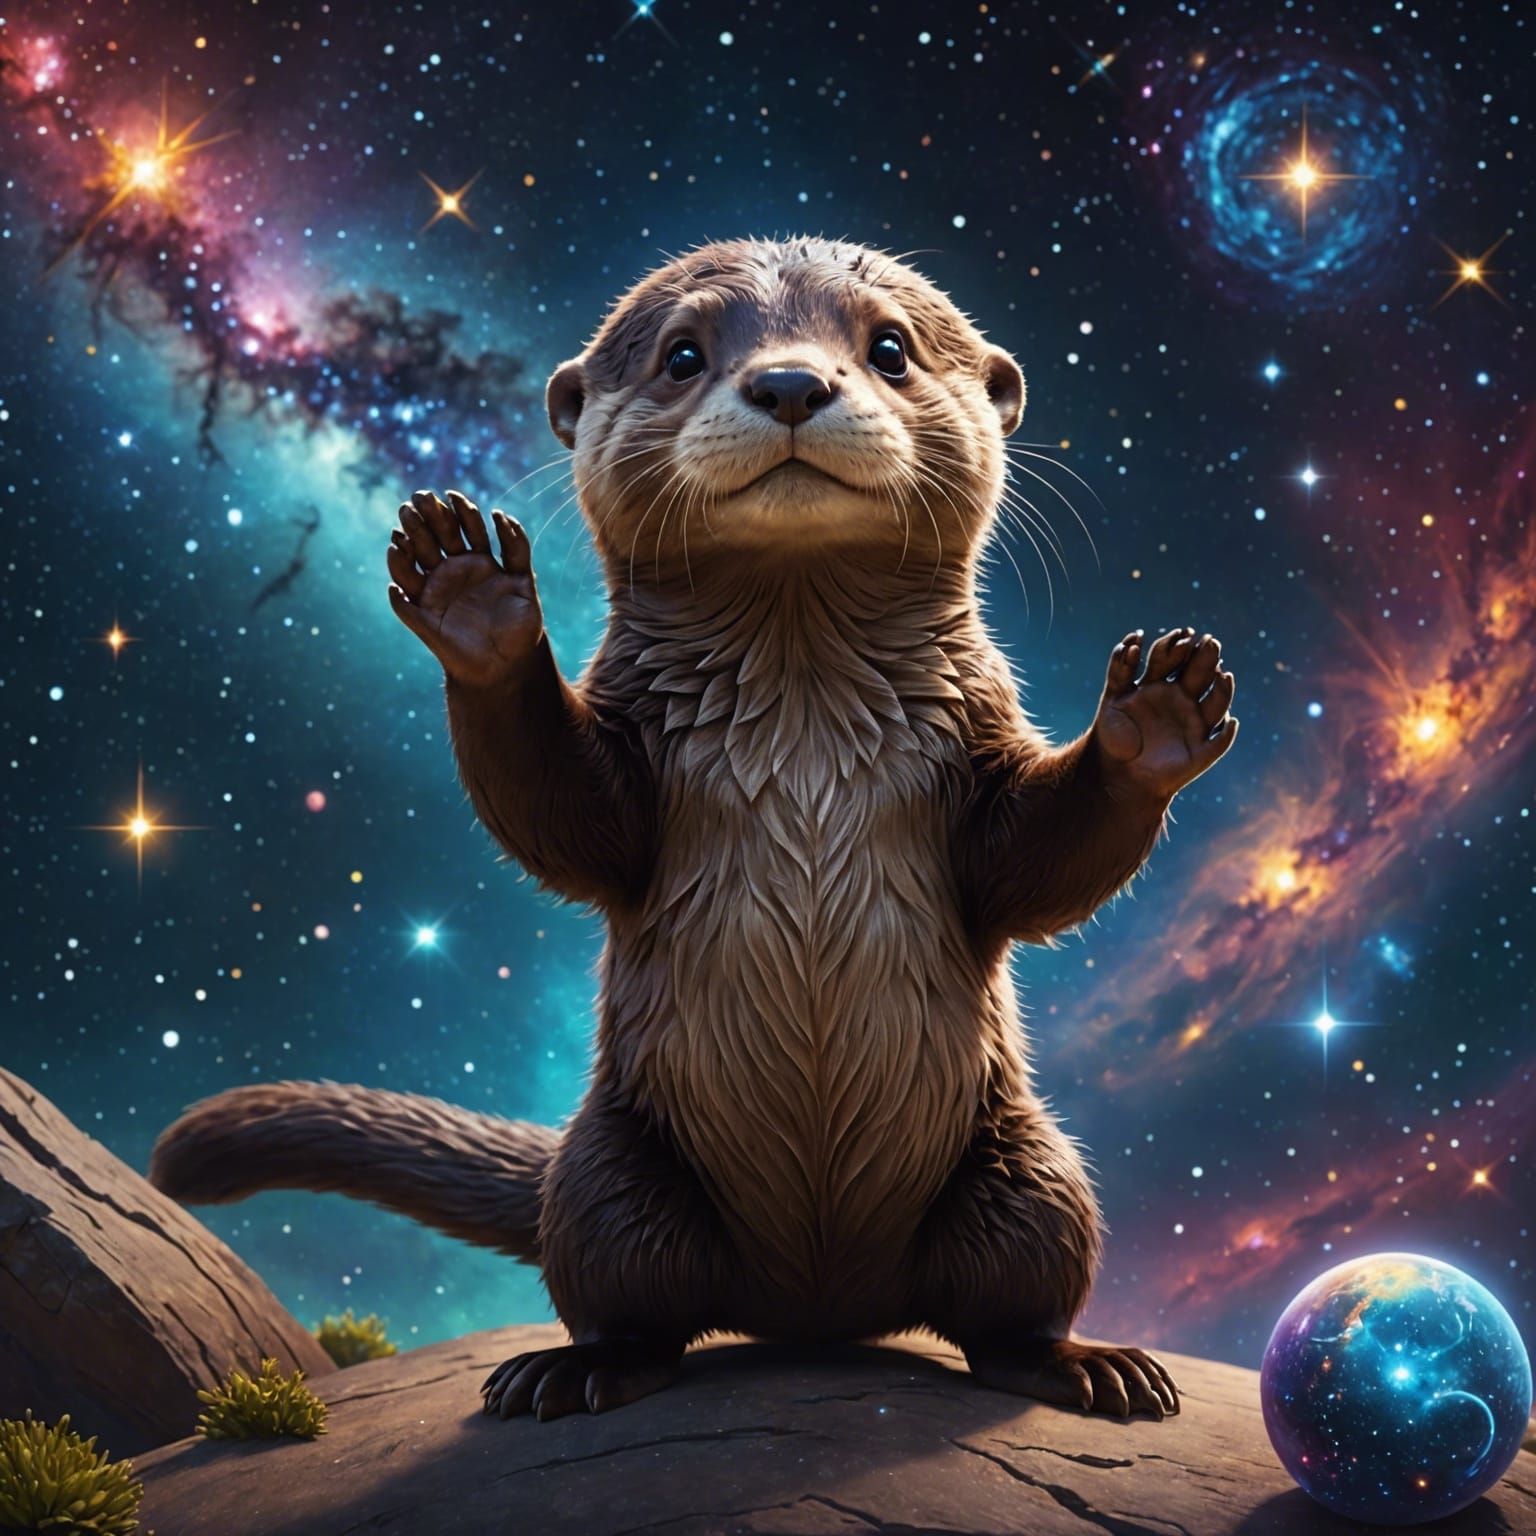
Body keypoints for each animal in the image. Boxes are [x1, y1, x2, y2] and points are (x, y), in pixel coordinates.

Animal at [151, 237, 1237, 1424]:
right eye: (682, 354)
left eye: (890, 348)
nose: (791, 383)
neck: (804, 722)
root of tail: (817, 1306)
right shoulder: (633, 762)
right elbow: (566, 820)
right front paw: (473, 596)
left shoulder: (978, 753)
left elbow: (1032, 870)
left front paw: (1157, 713)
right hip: (610, 1177)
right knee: (632, 1302)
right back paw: (574, 1369)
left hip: (1027, 1170)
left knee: (1012, 1303)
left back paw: (1086, 1366)